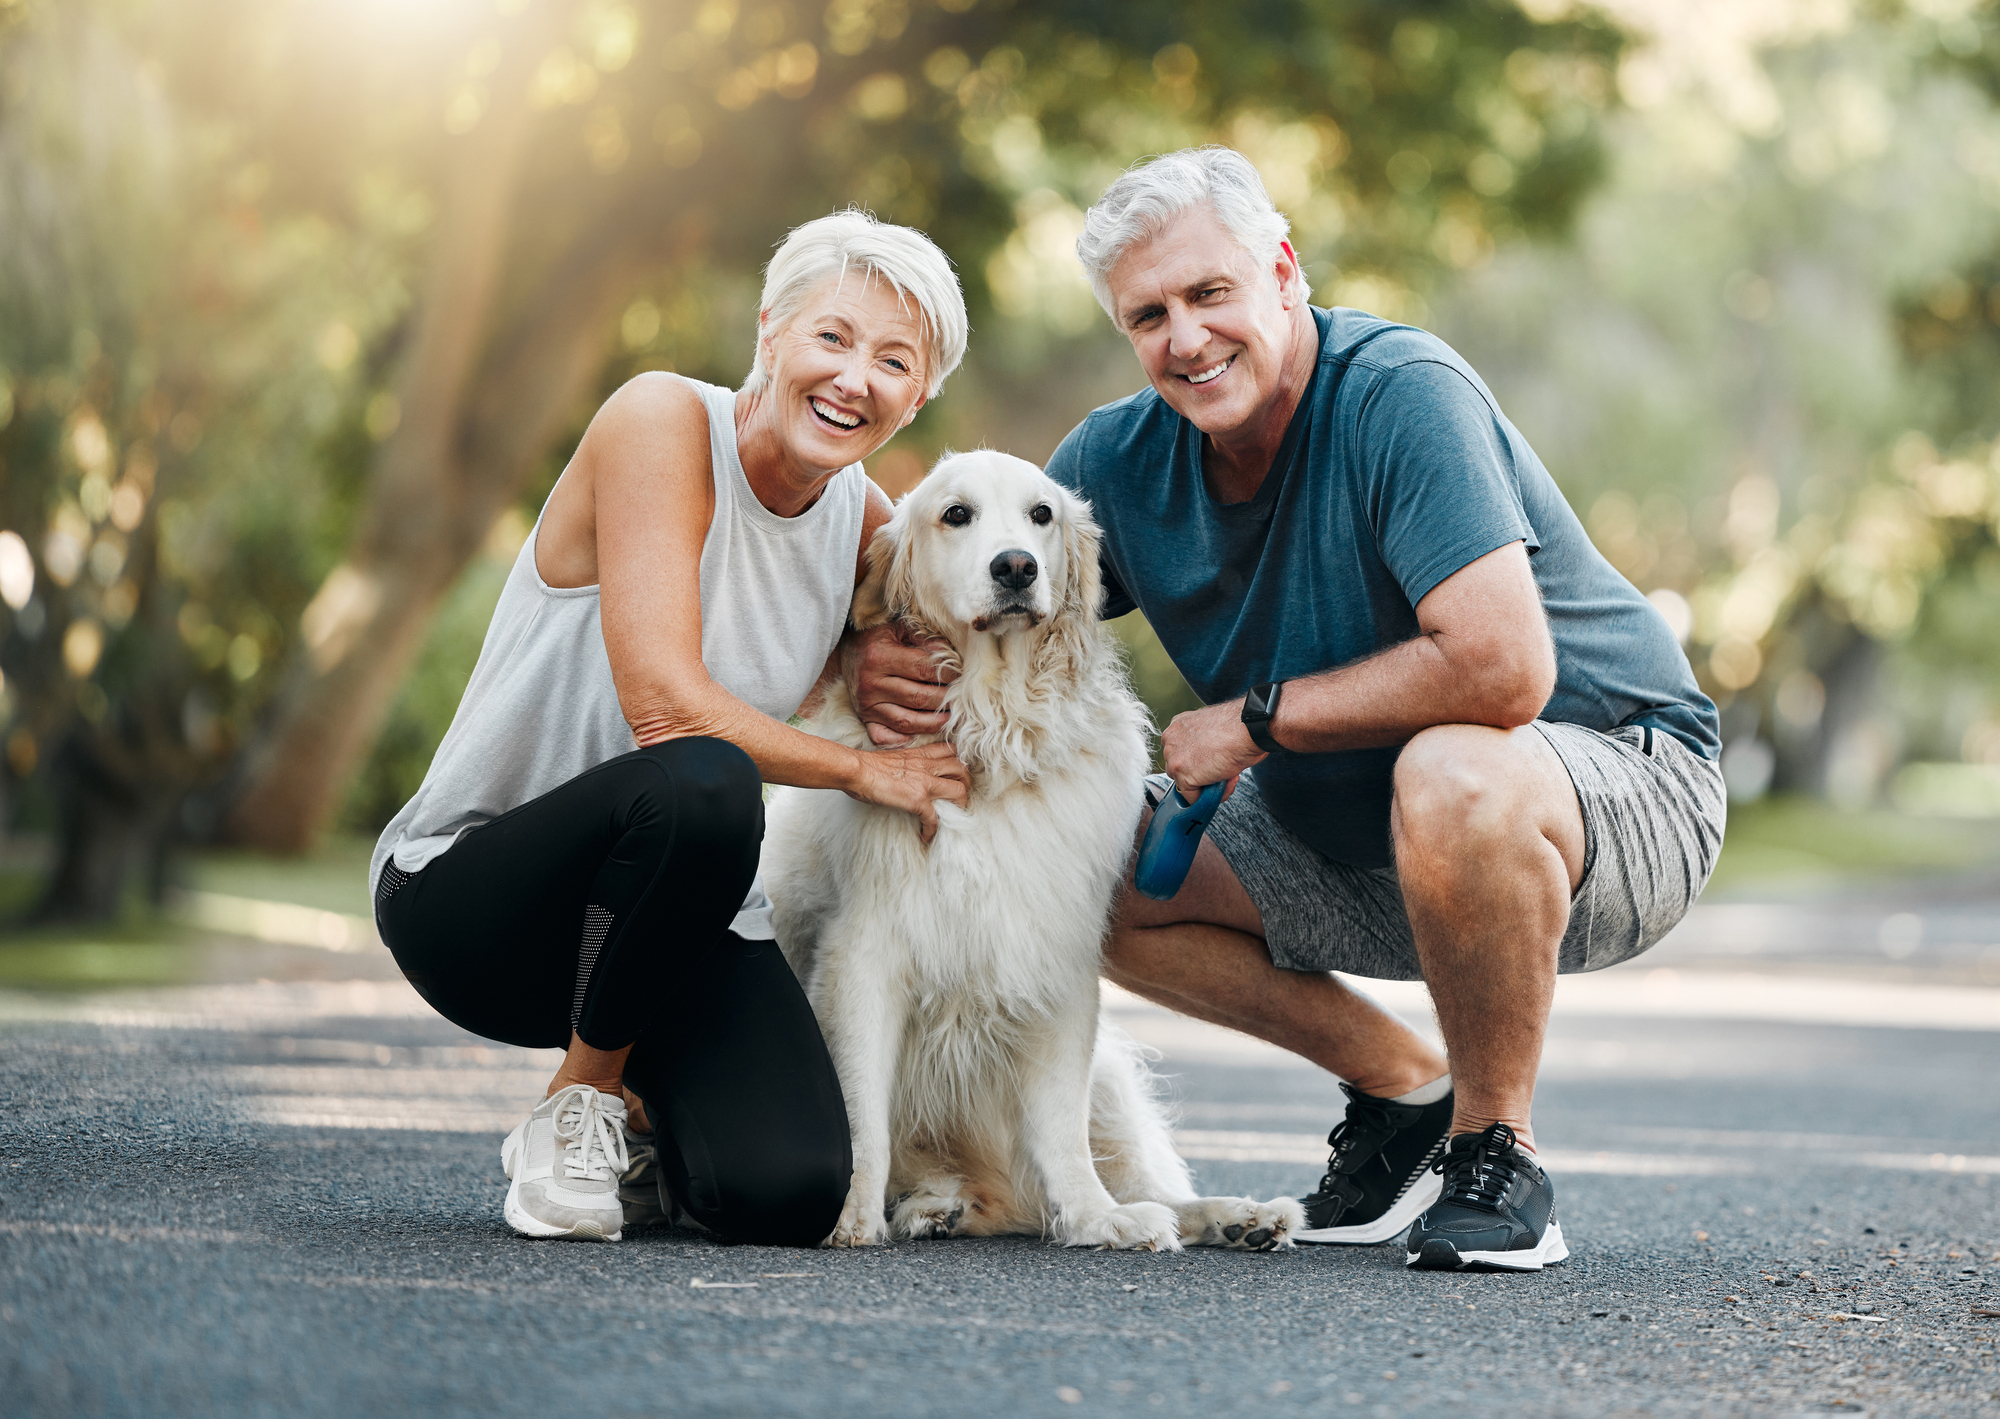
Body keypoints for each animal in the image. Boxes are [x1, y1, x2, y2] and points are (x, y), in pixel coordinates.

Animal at [756, 447, 1304, 1255]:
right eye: (956, 515)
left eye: (1041, 514)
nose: (1015, 566)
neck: (995, 732)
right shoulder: (863, 959)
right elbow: (861, 1116)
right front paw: (850, 1217)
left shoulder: (1056, 961)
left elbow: (1061, 1129)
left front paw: (1096, 1215)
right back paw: (933, 1202)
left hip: (1110, 1080)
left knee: (1146, 1184)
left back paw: (1233, 1215)